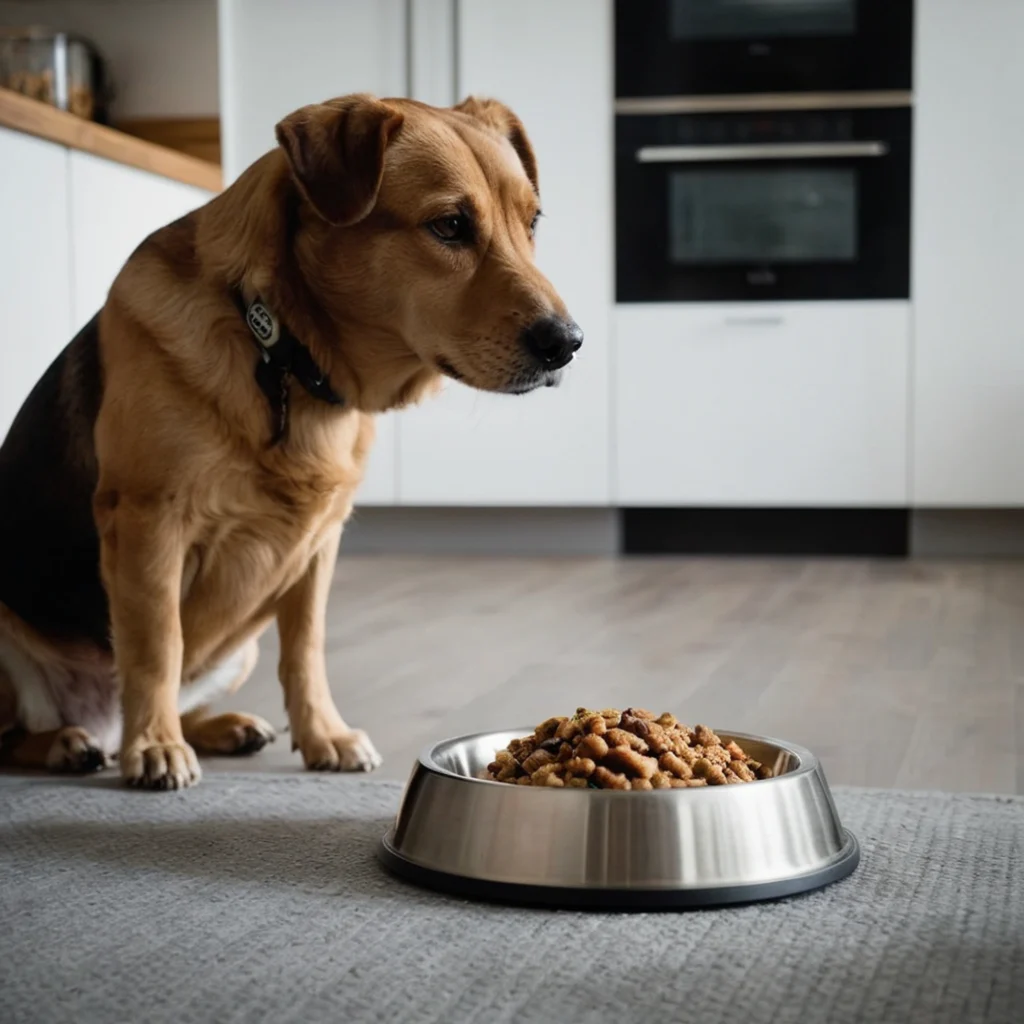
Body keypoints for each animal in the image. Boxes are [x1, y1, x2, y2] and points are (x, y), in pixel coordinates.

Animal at [0, 92, 581, 786]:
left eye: (533, 222)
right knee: (19, 731)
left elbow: (305, 650)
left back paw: (220, 727)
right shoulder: (147, 521)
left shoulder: (318, 545)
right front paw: (157, 745)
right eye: (449, 226)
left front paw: (322, 734)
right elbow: (156, 647)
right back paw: (75, 741)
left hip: (239, 651)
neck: (281, 352)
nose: (569, 343)